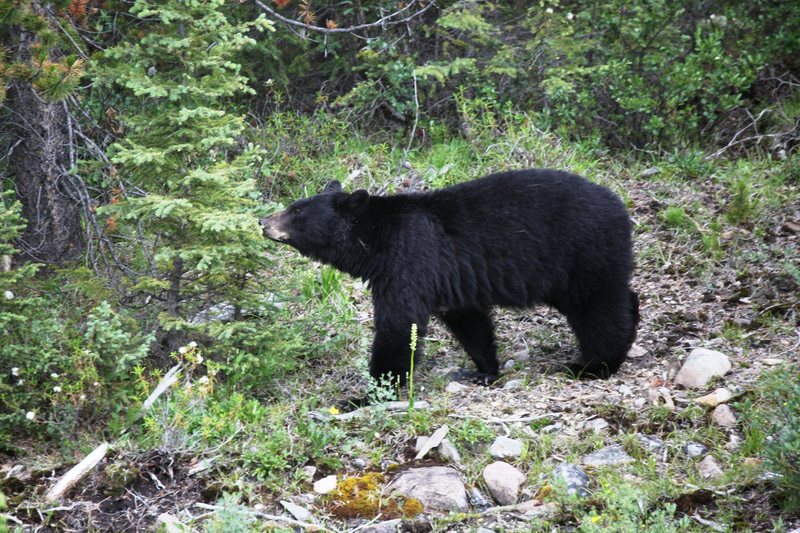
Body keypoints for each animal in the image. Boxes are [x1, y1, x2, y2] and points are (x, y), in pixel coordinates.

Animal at [262, 169, 636, 386]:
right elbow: (468, 321)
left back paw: (595, 365)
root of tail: (620, 207)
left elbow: (399, 325)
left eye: (297, 211)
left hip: (580, 250)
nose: (263, 222)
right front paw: (484, 370)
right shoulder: (450, 281)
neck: (375, 241)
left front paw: (372, 390)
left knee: (598, 308)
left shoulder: (409, 260)